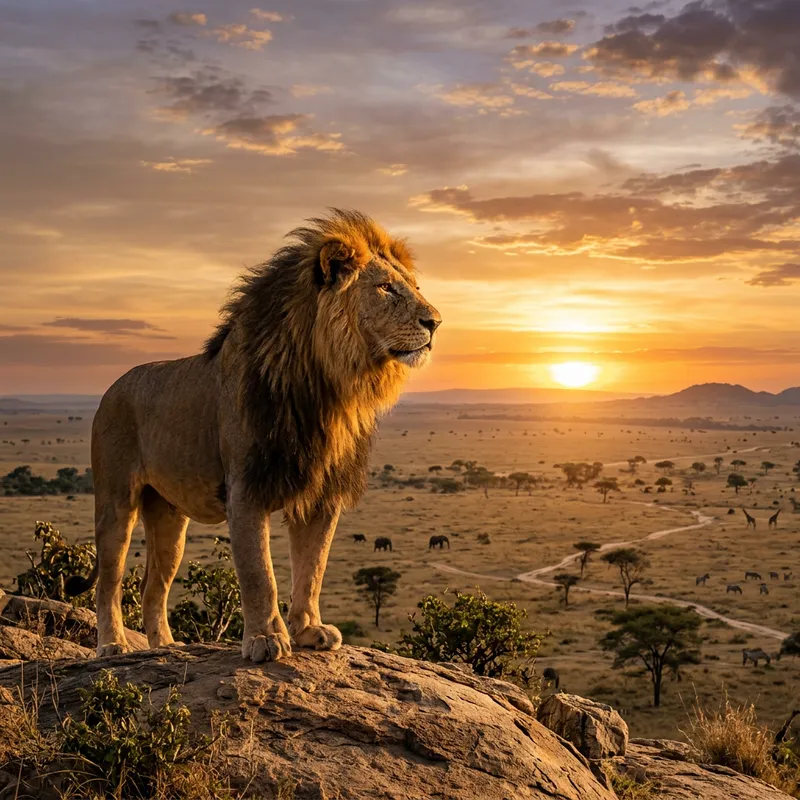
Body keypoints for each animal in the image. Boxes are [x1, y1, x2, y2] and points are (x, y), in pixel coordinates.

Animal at [66, 209, 441, 662]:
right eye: (385, 288)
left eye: (415, 287)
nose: (435, 322)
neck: (328, 385)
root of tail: (112, 387)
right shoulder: (246, 486)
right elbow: (259, 572)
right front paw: (265, 639)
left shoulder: (321, 495)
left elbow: (312, 569)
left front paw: (309, 631)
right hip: (116, 499)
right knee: (110, 580)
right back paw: (113, 645)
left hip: (169, 516)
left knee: (152, 586)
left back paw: (168, 647)